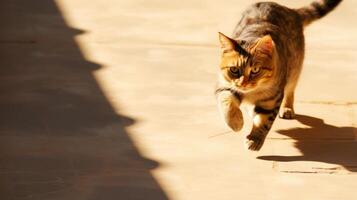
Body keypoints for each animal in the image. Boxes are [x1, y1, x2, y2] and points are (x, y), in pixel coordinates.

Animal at [216, 0, 340, 150]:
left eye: (255, 69)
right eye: (234, 69)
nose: (243, 83)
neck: (252, 92)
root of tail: (290, 10)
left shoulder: (272, 98)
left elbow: (263, 121)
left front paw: (254, 139)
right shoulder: (225, 85)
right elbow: (226, 102)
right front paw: (236, 122)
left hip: (294, 68)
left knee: (290, 90)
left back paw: (287, 108)